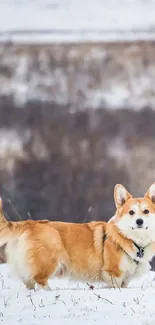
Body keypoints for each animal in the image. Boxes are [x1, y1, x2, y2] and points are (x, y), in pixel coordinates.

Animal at [0, 182, 155, 288]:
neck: (134, 240)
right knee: (40, 282)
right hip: (49, 261)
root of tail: (30, 223)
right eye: (131, 212)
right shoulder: (113, 273)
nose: (139, 221)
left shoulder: (126, 278)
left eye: (146, 211)